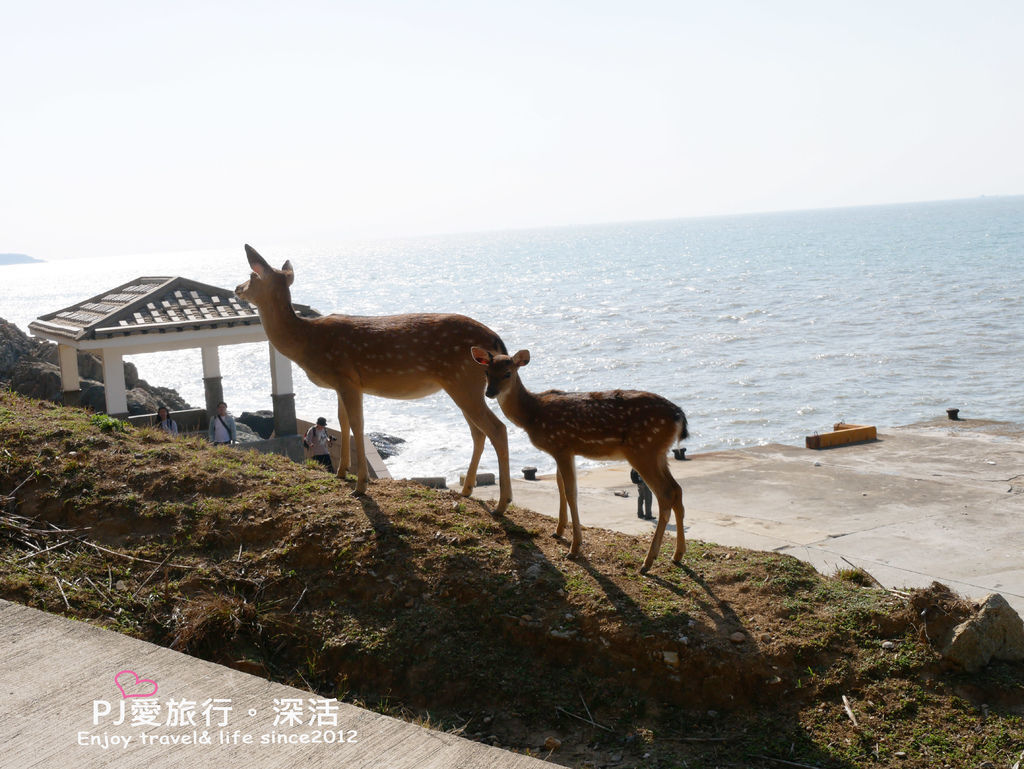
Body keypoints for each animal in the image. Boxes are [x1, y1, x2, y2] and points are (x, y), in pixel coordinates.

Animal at [237, 244, 512, 511]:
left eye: (252, 275)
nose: (238, 288)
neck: (306, 343)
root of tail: (497, 341)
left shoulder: (347, 378)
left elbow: (357, 425)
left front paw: (360, 485)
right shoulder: (341, 383)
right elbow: (342, 422)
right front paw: (341, 473)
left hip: (463, 380)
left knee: (497, 428)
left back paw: (501, 504)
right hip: (462, 384)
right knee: (478, 432)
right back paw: (467, 490)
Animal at [471, 346, 688, 573]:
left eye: (508, 373)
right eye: (487, 372)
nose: (489, 392)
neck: (533, 413)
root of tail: (679, 416)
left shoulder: (562, 446)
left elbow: (570, 492)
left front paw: (574, 548)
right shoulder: (561, 451)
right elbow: (560, 487)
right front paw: (558, 531)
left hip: (643, 449)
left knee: (666, 493)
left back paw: (647, 562)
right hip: (659, 453)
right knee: (677, 490)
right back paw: (677, 555)